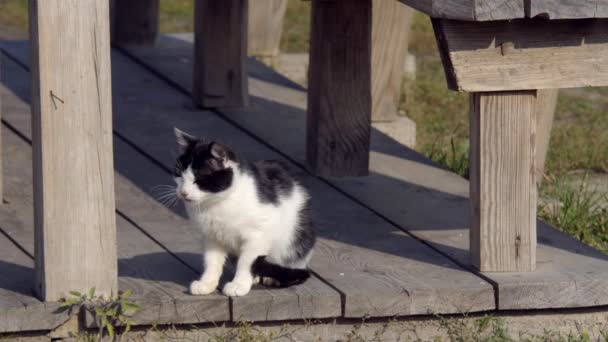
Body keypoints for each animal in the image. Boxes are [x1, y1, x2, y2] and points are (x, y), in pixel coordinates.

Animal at [170, 128, 314, 296]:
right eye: (178, 173)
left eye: (200, 178)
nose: (183, 192)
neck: (217, 204)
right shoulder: (211, 236)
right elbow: (211, 261)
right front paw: (207, 283)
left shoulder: (258, 236)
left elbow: (247, 261)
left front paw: (239, 284)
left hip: (295, 242)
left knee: (296, 270)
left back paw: (272, 278)